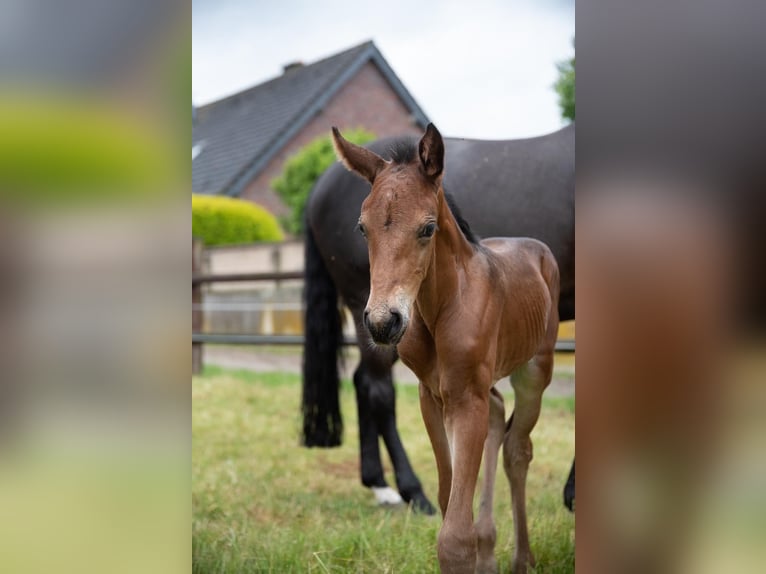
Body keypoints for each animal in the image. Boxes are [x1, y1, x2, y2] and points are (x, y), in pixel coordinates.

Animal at [304, 124, 572, 516]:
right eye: (362, 228)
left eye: (428, 229)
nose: (383, 321)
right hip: (359, 306)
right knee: (377, 387)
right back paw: (408, 490)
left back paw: (384, 485)